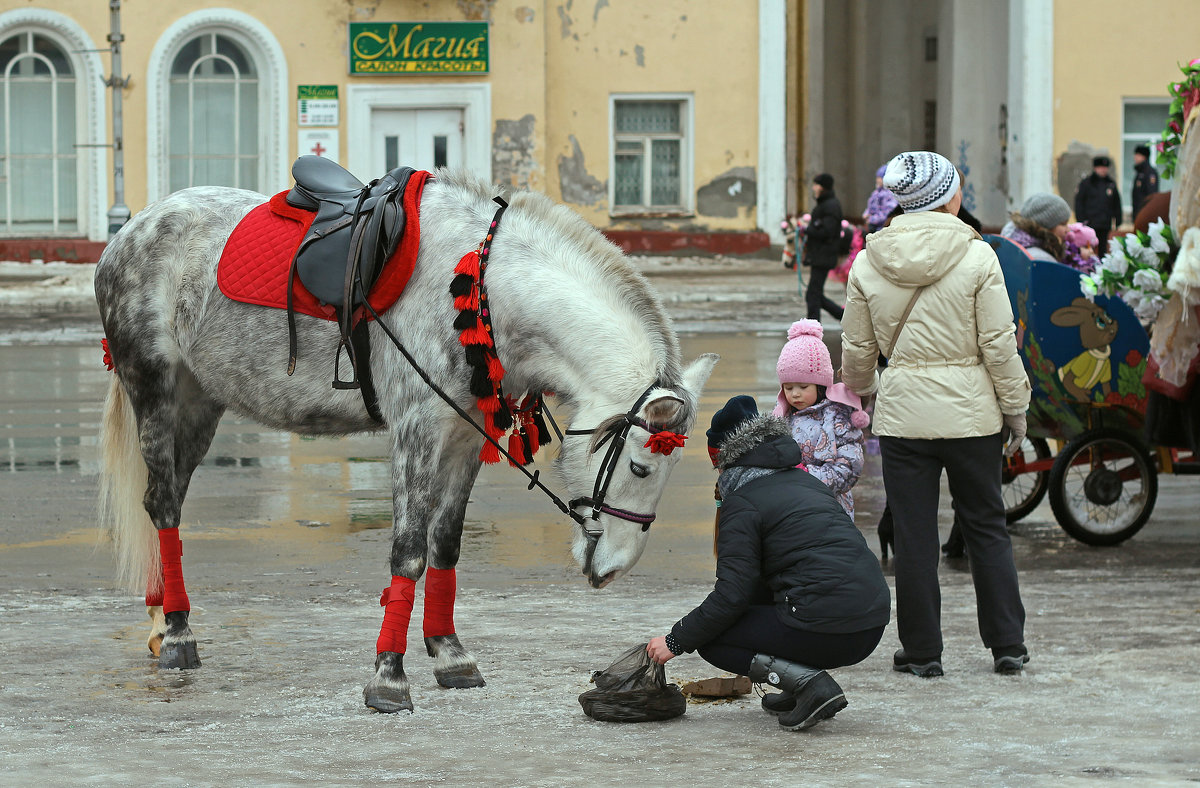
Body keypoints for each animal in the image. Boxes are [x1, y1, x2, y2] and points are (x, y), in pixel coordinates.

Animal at [96, 169, 710, 714]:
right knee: (163, 504)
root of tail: (132, 230)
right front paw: (389, 677)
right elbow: (409, 552)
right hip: (156, 391)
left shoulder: (466, 435)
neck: (483, 288)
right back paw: (178, 634)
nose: (614, 570)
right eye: (640, 468)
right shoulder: (417, 431)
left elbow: (445, 545)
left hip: (201, 402)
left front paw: (450, 654)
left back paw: (161, 620)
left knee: (167, 503)